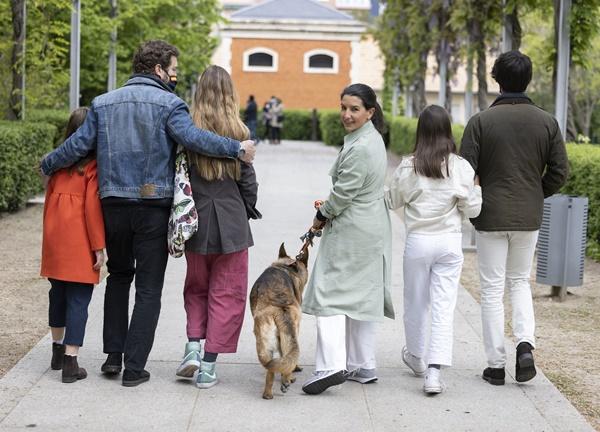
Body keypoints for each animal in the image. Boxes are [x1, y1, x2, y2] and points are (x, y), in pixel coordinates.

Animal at [251, 243, 312, 398]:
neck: (285, 266)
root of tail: (279, 309)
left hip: (264, 344)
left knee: (271, 368)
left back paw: (268, 394)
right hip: (289, 333)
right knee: (284, 359)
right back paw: (287, 379)